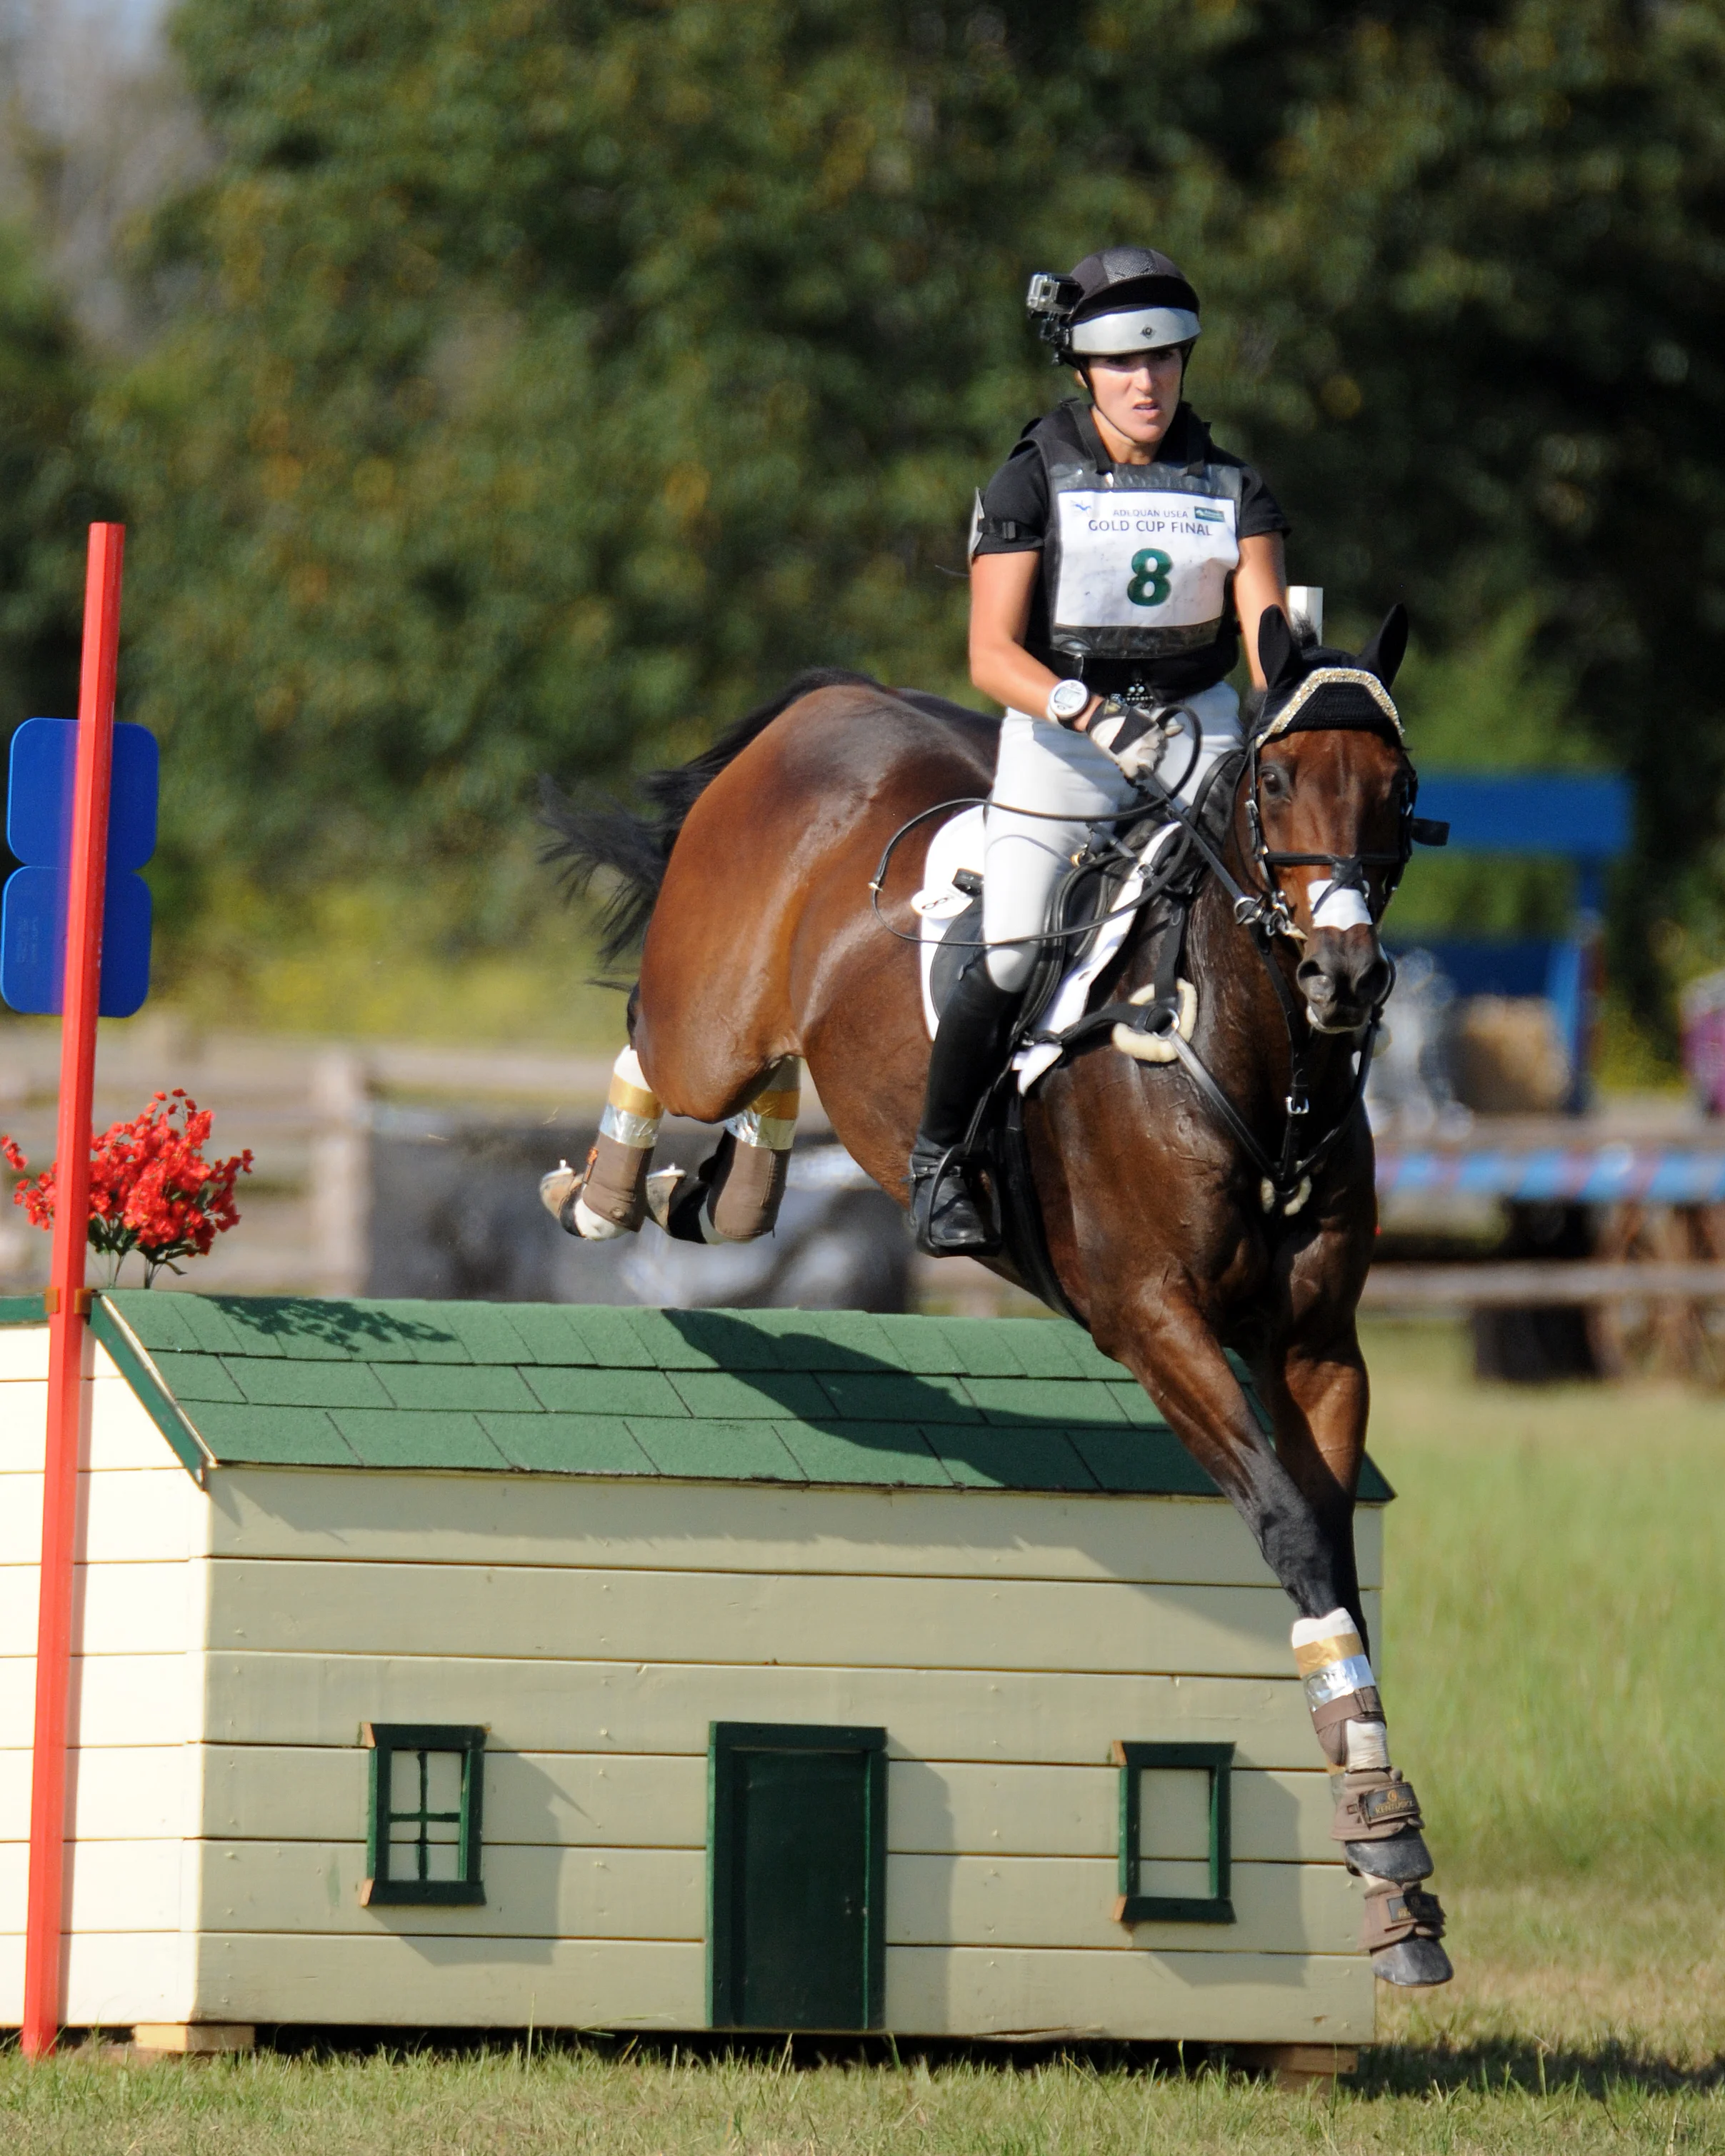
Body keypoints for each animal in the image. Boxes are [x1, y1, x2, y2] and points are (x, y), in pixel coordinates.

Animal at [546, 605, 1452, 1985]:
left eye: (1395, 791)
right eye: (1276, 782)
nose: (1342, 975)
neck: (1247, 1052)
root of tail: (829, 706)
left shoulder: (1315, 1345)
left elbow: (1331, 1546)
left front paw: (1385, 1849)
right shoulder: (1154, 1321)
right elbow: (1291, 1526)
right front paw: (1377, 1821)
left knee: (758, 1114)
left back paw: (732, 1188)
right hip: (711, 1014)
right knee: (664, 1040)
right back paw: (603, 1184)